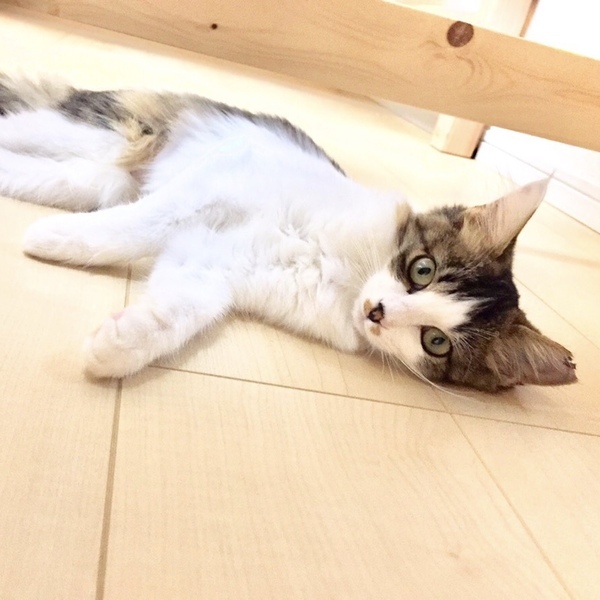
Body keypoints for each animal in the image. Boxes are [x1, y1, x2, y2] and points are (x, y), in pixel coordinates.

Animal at [0, 74, 577, 392]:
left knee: (70, 178)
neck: (343, 272)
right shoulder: (224, 173)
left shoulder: (211, 268)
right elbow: (139, 225)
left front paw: (116, 346)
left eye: (435, 342)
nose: (378, 312)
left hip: (100, 173)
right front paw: (54, 239)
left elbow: (181, 312)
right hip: (103, 134)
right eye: (422, 269)